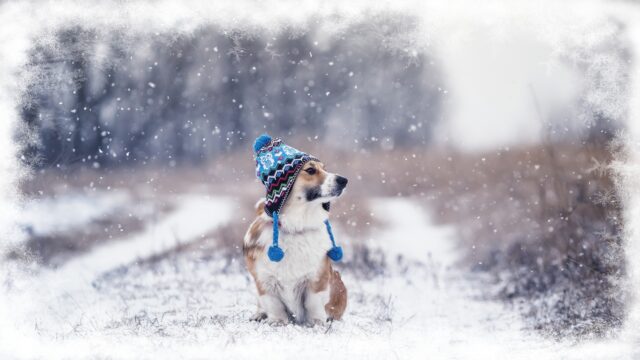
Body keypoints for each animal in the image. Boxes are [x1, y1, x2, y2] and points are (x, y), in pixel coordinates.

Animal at [242, 161, 348, 326]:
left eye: (325, 168)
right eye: (310, 170)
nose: (344, 180)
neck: (294, 227)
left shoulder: (317, 278)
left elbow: (313, 303)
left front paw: (317, 323)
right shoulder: (264, 281)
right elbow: (273, 304)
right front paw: (278, 322)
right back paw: (259, 314)